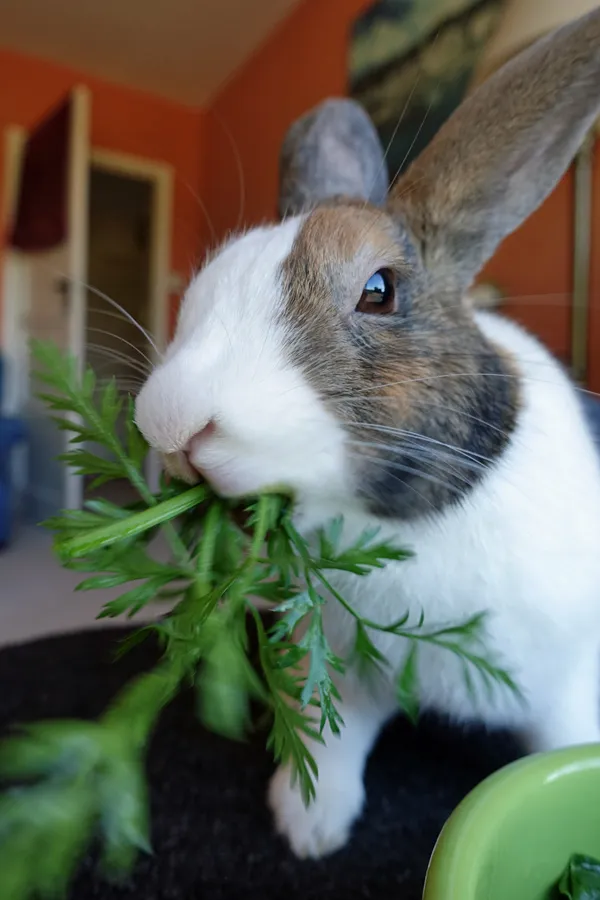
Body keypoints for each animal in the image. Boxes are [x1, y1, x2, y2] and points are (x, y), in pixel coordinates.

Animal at [137, 8, 600, 864]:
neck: (393, 523)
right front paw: (309, 828)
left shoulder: (567, 683)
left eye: (378, 291)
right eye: (205, 283)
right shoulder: (341, 672)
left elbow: (564, 748)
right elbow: (331, 739)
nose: (170, 422)